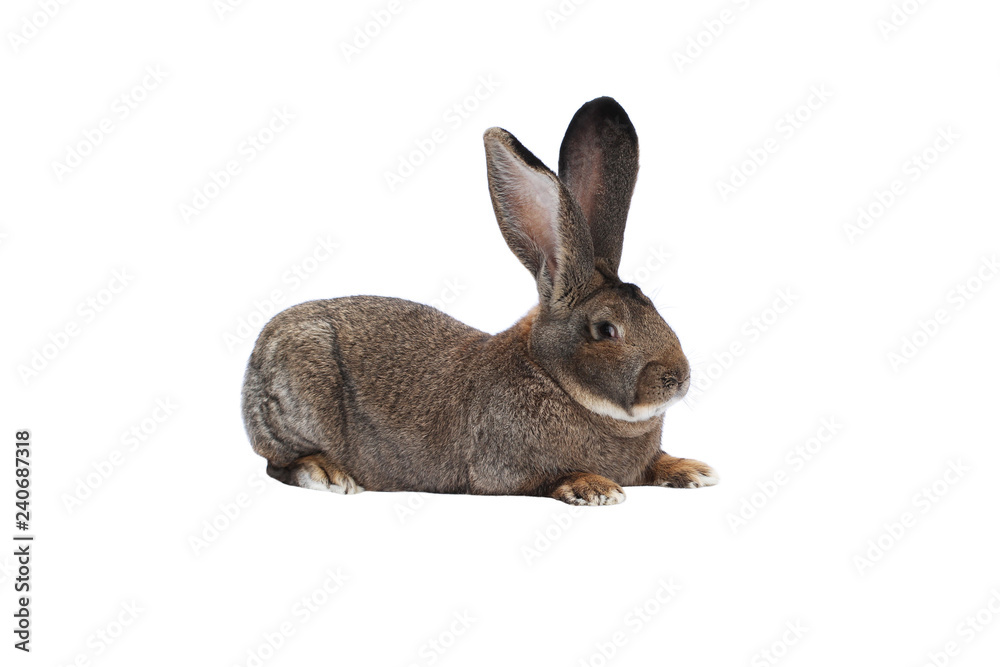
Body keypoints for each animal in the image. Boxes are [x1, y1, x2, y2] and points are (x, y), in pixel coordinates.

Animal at [241, 96, 718, 505]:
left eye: (653, 307)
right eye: (605, 329)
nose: (678, 379)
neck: (552, 376)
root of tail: (262, 348)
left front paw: (692, 470)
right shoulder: (505, 468)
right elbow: (550, 477)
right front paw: (595, 487)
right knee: (278, 462)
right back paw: (327, 473)